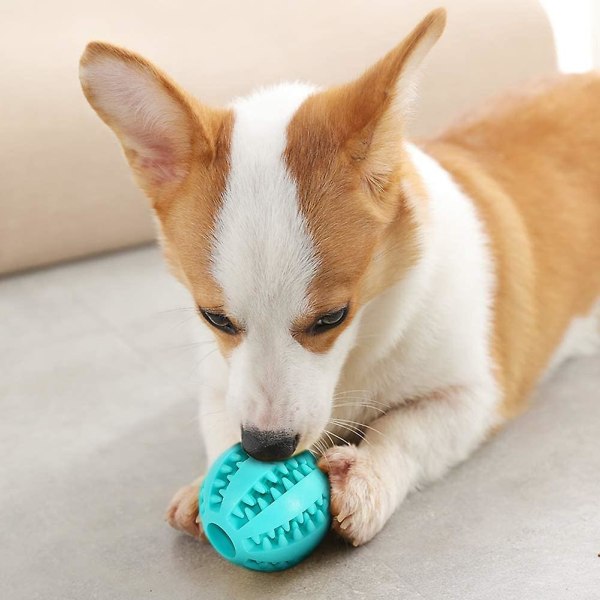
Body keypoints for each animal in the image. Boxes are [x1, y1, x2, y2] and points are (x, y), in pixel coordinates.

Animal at [79, 9, 600, 548]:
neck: (360, 349)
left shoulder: (474, 395)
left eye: (332, 317)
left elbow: (403, 431)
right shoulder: (220, 384)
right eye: (215, 319)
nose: (265, 448)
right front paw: (204, 483)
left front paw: (367, 473)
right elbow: (220, 421)